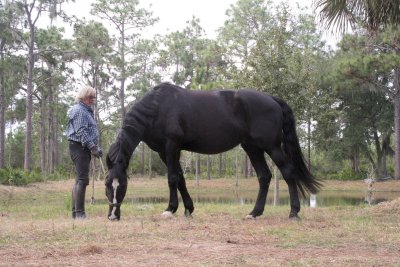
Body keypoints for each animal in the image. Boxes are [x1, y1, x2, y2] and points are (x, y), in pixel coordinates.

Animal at [104, 82, 322, 221]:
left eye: (122, 185)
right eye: (107, 185)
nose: (113, 216)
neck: (158, 108)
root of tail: (272, 99)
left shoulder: (171, 146)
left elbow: (172, 178)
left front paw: (170, 209)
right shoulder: (163, 152)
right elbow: (181, 178)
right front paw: (188, 209)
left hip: (272, 146)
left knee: (288, 172)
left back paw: (294, 212)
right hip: (252, 147)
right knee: (264, 176)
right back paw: (254, 213)